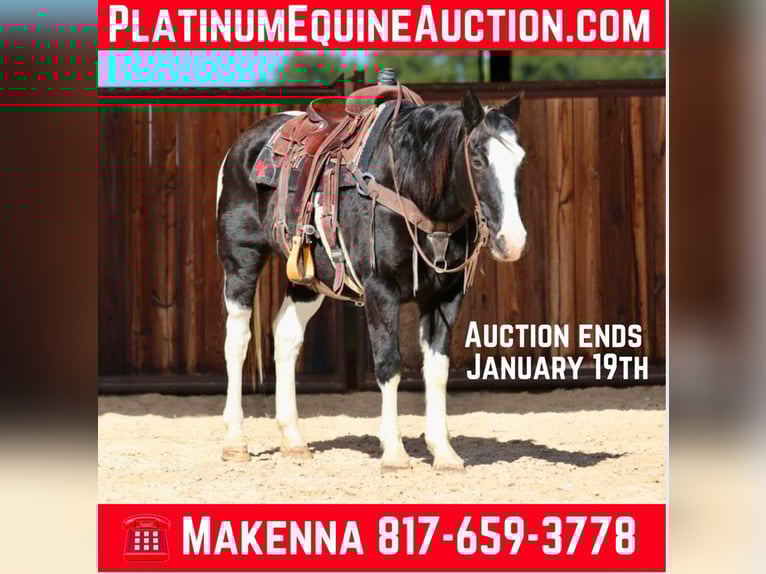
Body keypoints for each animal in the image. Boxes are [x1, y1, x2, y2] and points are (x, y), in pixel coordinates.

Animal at [216, 88, 527, 471]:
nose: (513, 241)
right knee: (237, 341)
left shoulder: (446, 296)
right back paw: (235, 441)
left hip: (307, 279)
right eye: (479, 160)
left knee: (286, 335)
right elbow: (388, 364)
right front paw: (394, 452)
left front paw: (443, 451)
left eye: (520, 161)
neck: (408, 185)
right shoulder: (381, 291)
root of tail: (245, 143)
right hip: (241, 261)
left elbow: (437, 370)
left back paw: (294, 439)